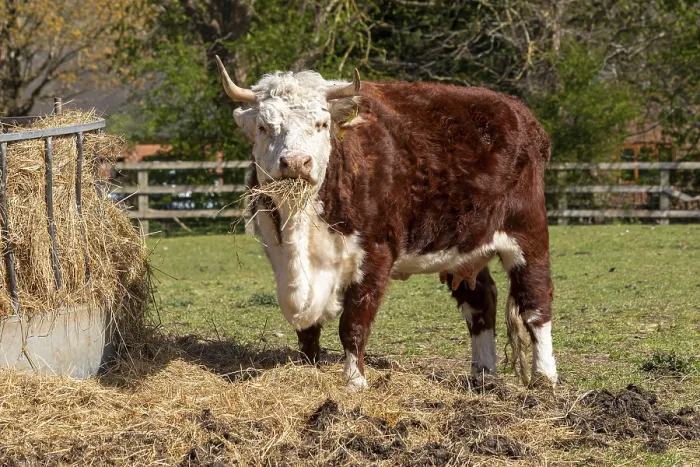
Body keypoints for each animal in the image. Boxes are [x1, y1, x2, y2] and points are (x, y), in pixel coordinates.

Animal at [215, 56, 557, 391]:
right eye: (264, 126)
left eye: (321, 124)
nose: (296, 163)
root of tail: (518, 111)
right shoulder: (278, 254)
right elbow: (308, 329)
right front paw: (308, 372)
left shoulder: (376, 253)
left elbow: (354, 322)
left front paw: (355, 381)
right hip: (464, 246)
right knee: (480, 301)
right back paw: (483, 376)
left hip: (528, 232)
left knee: (535, 302)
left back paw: (544, 377)